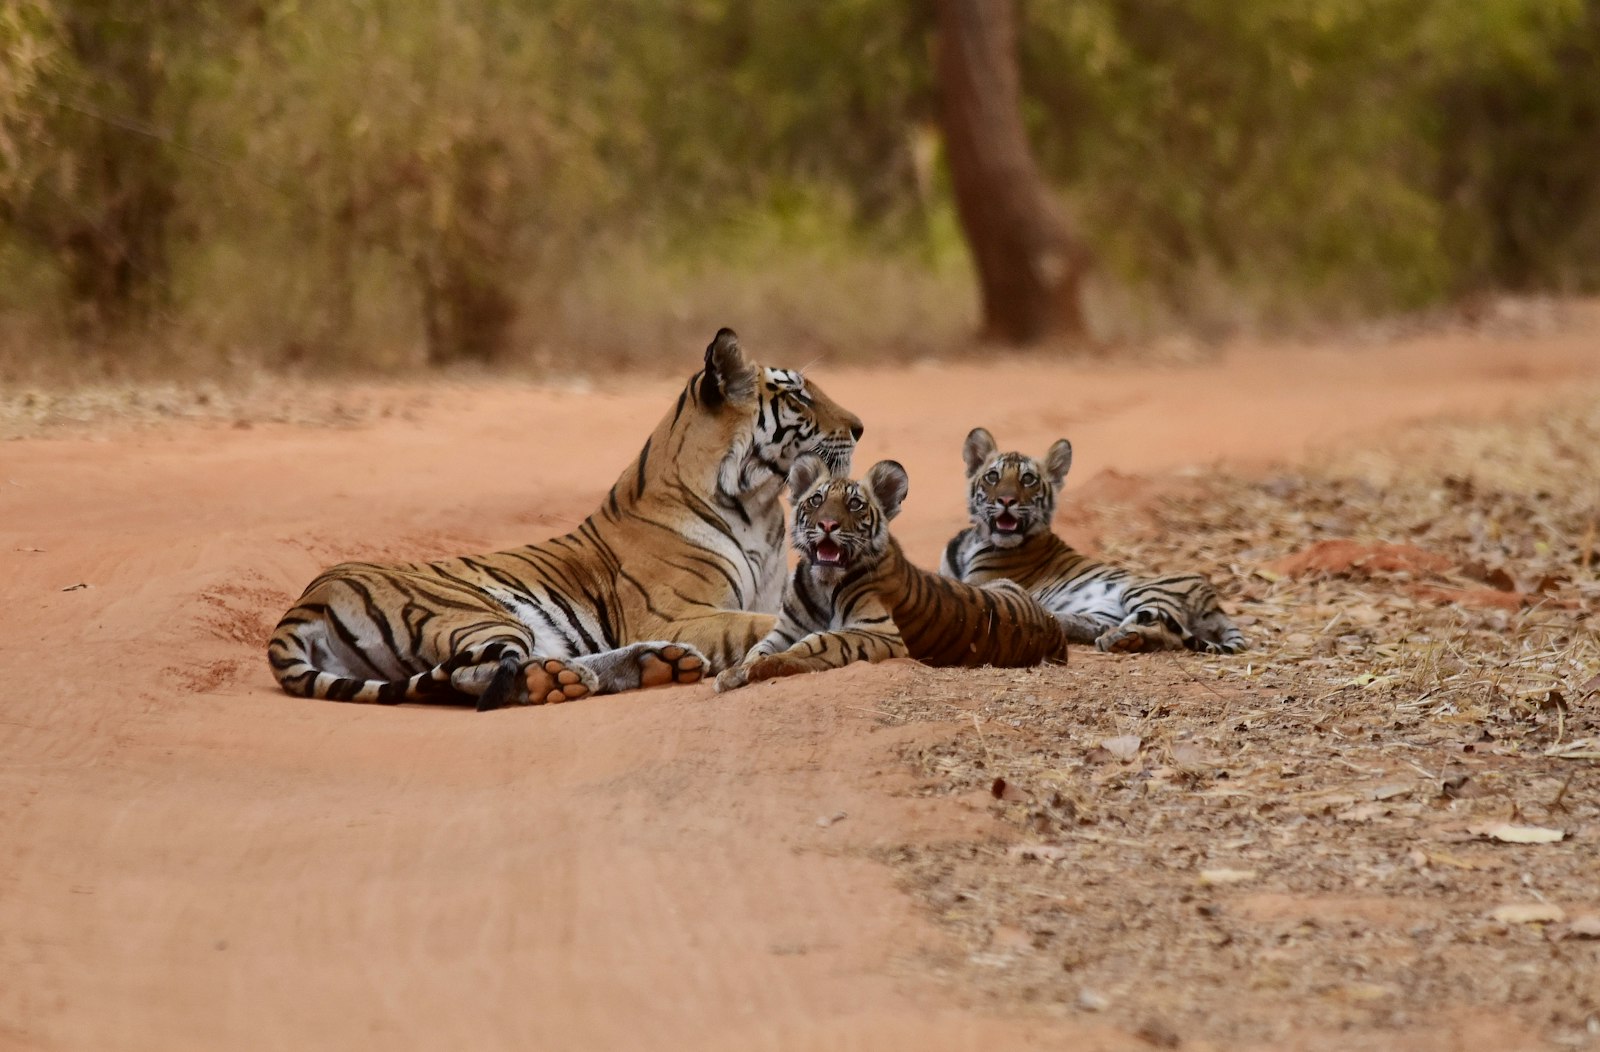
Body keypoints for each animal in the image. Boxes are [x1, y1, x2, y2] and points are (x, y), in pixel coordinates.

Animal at [268, 328, 863, 711]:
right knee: (471, 675)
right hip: (475, 613)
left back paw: (656, 665)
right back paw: (565, 680)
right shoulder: (678, 613)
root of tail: (305, 601)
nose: (859, 427)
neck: (759, 506)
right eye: (797, 395)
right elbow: (759, 626)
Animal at [714, 454, 1067, 692]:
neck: (822, 584)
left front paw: (767, 666)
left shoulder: (880, 631)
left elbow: (820, 641)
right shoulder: (785, 629)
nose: (827, 524)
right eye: (816, 499)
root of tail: (1051, 624)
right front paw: (735, 673)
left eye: (855, 505)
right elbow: (758, 648)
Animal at [939, 427, 1246, 654]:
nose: (1006, 500)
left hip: (1144, 591)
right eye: (993, 476)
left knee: (1165, 632)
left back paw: (1118, 639)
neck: (975, 538)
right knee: (1100, 625)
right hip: (1104, 611)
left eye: (1027, 479)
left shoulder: (980, 582)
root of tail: (1214, 601)